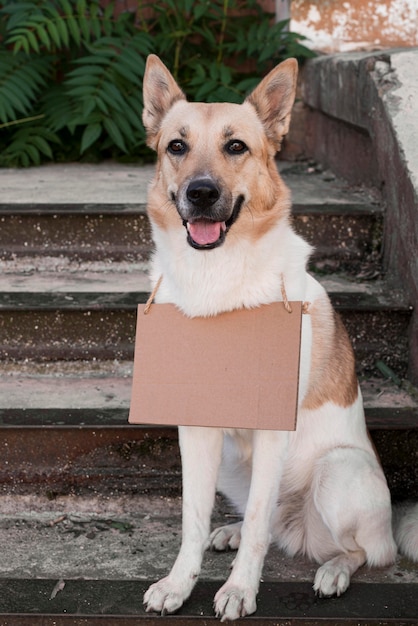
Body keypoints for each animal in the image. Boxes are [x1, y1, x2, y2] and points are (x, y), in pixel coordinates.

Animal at [141, 53, 418, 620]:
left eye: (236, 146)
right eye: (176, 146)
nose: (201, 193)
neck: (218, 281)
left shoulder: (273, 431)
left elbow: (255, 534)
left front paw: (239, 591)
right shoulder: (195, 430)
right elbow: (192, 520)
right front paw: (180, 583)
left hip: (337, 472)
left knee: (359, 550)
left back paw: (332, 571)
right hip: (232, 464)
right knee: (263, 520)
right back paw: (232, 532)